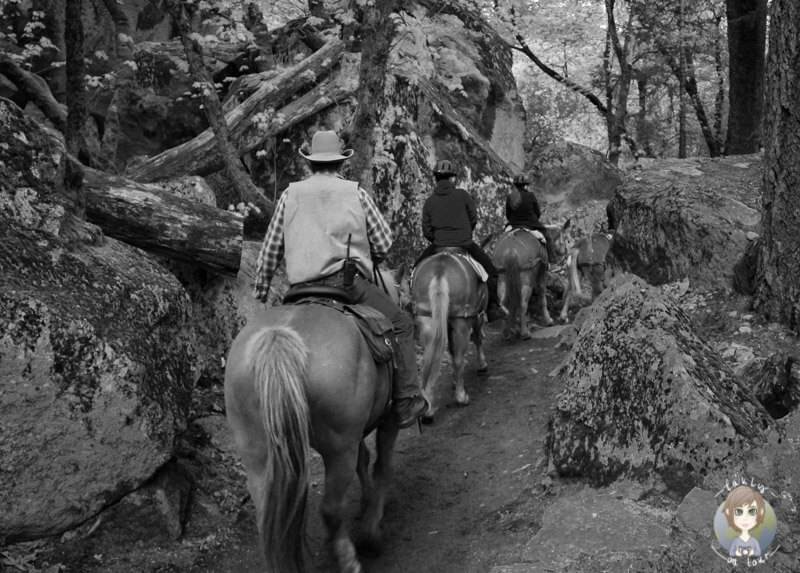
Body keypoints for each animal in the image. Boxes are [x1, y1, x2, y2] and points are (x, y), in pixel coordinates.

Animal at [223, 270, 400, 572]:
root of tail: (278, 339)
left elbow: (365, 460)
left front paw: (366, 504)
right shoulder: (388, 421)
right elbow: (382, 465)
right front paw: (371, 528)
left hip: (256, 453)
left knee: (267, 519)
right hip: (339, 449)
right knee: (331, 509)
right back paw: (350, 559)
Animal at [410, 250, 490, 420]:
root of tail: (440, 268)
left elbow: (451, 350)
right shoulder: (476, 316)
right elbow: (477, 339)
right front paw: (482, 365)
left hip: (427, 319)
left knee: (429, 358)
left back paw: (428, 408)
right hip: (462, 322)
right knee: (460, 358)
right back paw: (461, 397)